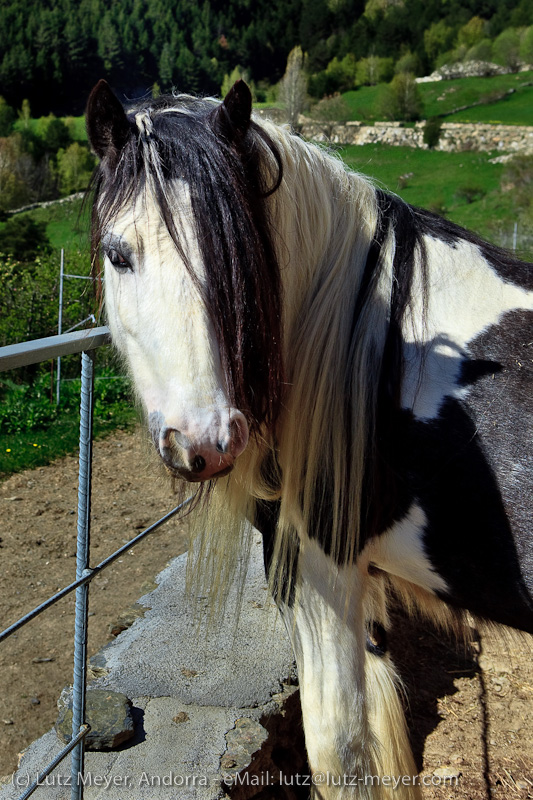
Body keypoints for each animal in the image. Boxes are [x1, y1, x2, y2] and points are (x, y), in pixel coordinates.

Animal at [85, 78, 528, 796]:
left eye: (240, 261)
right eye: (117, 255)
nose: (205, 440)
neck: (358, 347)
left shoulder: (323, 571)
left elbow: (339, 750)